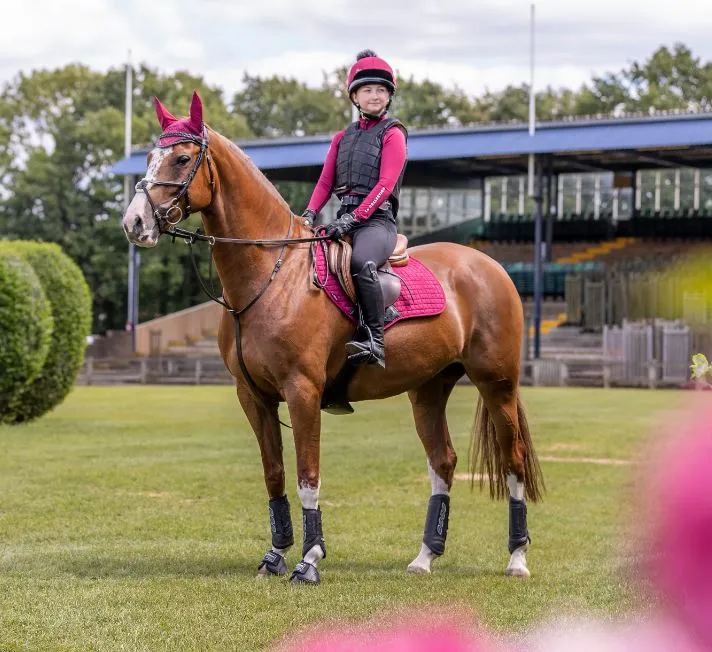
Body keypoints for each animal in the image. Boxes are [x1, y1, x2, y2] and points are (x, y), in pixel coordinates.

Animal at [122, 91, 544, 584]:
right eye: (149, 158)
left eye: (183, 158)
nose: (134, 223)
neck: (273, 275)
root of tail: (489, 265)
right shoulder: (253, 396)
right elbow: (274, 475)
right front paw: (275, 555)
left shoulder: (302, 391)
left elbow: (308, 476)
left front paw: (309, 559)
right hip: (428, 390)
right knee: (443, 463)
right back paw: (425, 557)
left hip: (498, 385)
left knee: (514, 461)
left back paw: (517, 559)